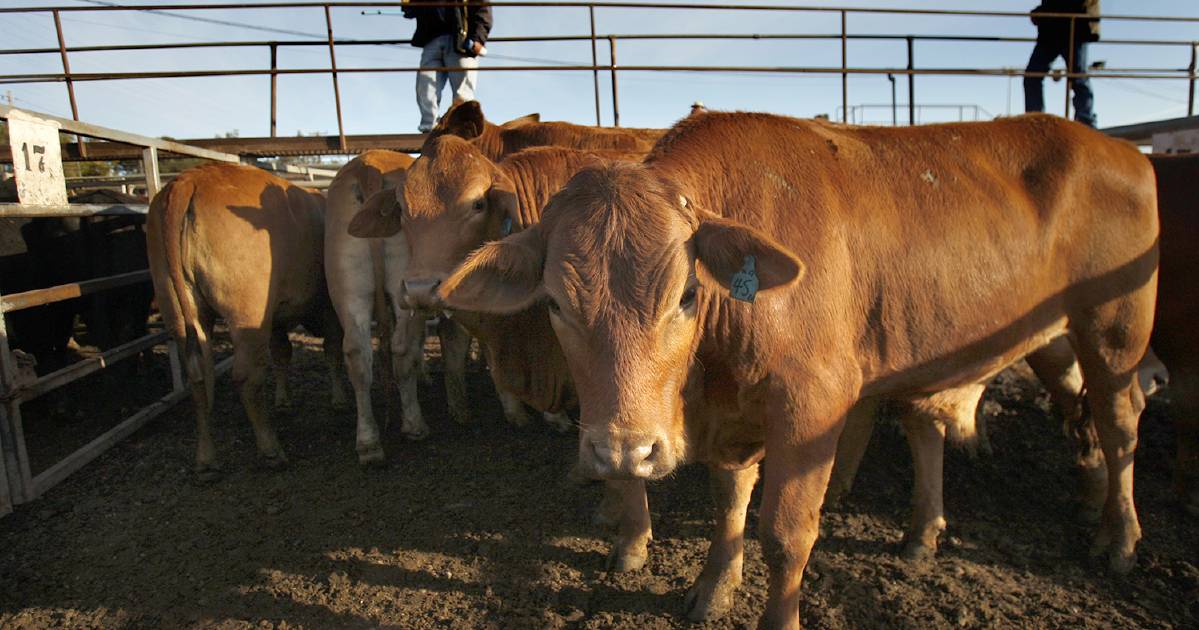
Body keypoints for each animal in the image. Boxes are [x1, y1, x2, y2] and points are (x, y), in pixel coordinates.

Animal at [146, 162, 342, 477]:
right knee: (247, 377)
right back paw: (270, 449)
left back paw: (206, 459)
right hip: (248, 311)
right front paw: (338, 399)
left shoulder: (276, 317)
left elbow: (282, 354)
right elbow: (332, 351)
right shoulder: (328, 308)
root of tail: (190, 179)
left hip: (180, 309)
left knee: (198, 378)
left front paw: (283, 400)